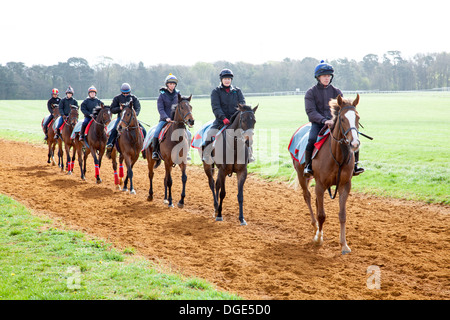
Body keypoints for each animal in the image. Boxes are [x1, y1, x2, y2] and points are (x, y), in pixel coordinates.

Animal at [294, 94, 360, 254]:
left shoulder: (344, 185)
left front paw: (344, 245)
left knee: (316, 202)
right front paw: (318, 239)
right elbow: (322, 215)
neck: (337, 156)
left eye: (357, 117)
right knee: (307, 197)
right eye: (342, 118)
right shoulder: (320, 184)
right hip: (301, 176)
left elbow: (342, 215)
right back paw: (315, 227)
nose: (355, 144)